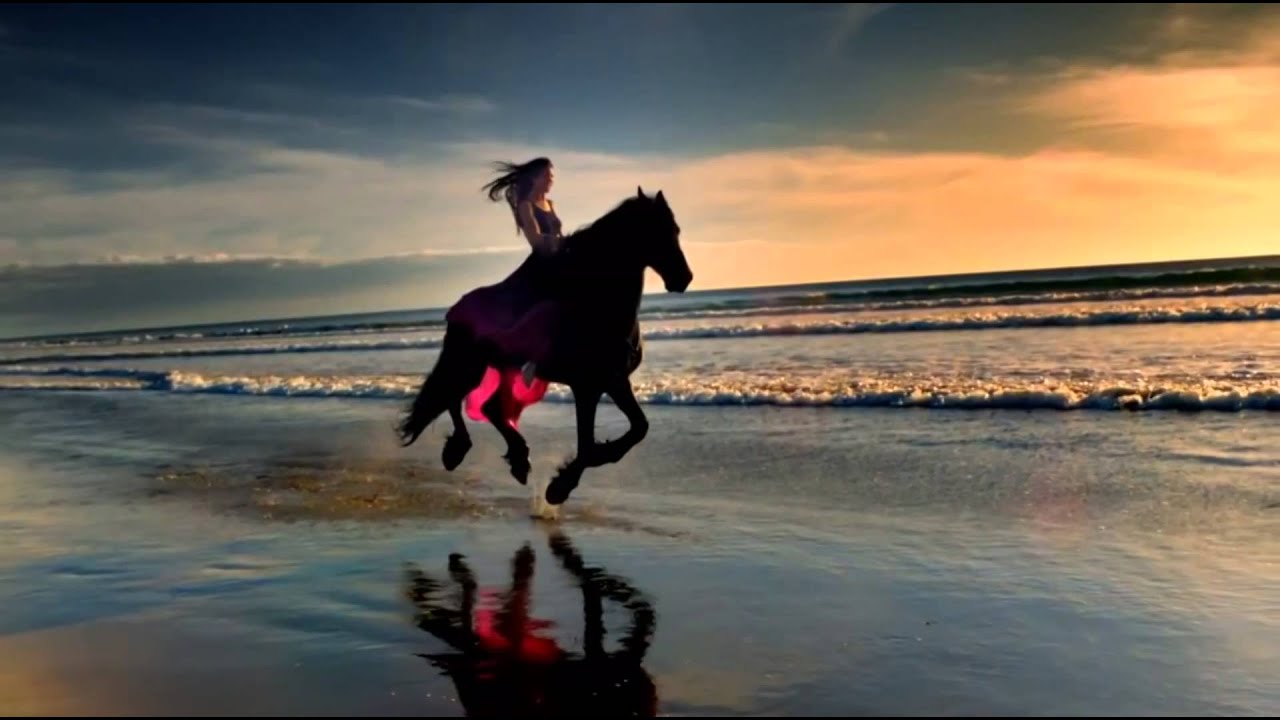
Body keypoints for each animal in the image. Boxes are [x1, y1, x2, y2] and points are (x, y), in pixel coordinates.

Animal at [396, 186, 693, 506]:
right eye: (654, 230)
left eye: (676, 230)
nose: (684, 278)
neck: (599, 308)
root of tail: (456, 308)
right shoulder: (588, 386)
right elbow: (590, 444)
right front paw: (562, 485)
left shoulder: (613, 381)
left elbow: (637, 428)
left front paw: (576, 472)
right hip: (469, 365)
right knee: (452, 397)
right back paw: (461, 450)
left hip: (502, 368)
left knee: (488, 407)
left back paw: (516, 458)